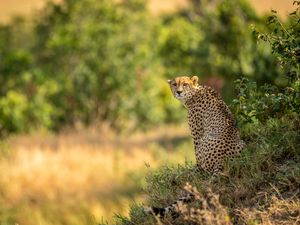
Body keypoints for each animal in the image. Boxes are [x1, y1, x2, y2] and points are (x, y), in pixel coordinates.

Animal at [145, 76, 244, 218]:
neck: (194, 93)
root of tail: (222, 161)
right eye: (174, 84)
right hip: (241, 144)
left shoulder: (197, 135)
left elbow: (196, 156)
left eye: (185, 84)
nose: (179, 92)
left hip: (205, 142)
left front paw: (192, 171)